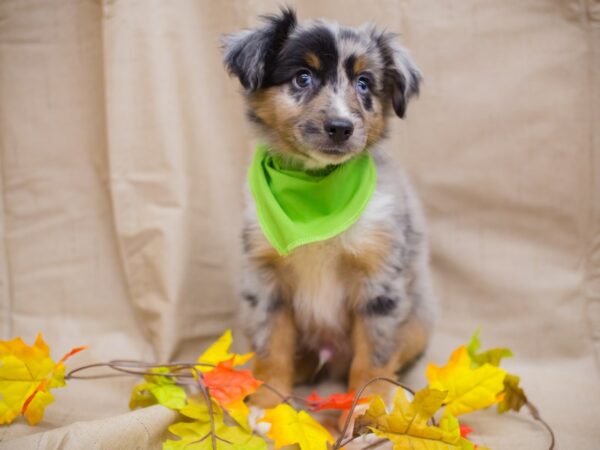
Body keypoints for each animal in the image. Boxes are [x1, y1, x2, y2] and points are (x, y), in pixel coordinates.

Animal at [223, 7, 438, 408]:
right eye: (302, 77)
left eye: (364, 84)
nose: (341, 127)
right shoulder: (266, 280)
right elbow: (271, 349)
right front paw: (267, 406)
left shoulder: (380, 280)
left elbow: (373, 359)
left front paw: (368, 409)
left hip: (418, 319)